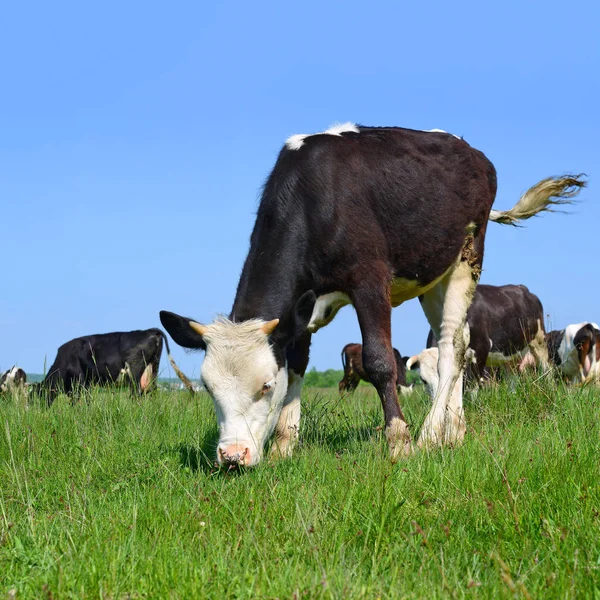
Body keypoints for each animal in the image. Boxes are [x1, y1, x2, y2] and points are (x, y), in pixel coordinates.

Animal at [161, 122, 584, 466]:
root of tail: (472, 152)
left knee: (451, 346)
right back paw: (455, 432)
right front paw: (284, 444)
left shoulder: (370, 281)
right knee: (458, 340)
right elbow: (296, 365)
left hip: (467, 257)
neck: (315, 198)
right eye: (208, 387)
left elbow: (380, 361)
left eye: (264, 385)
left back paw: (430, 435)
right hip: (432, 272)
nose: (233, 456)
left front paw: (399, 441)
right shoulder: (300, 308)